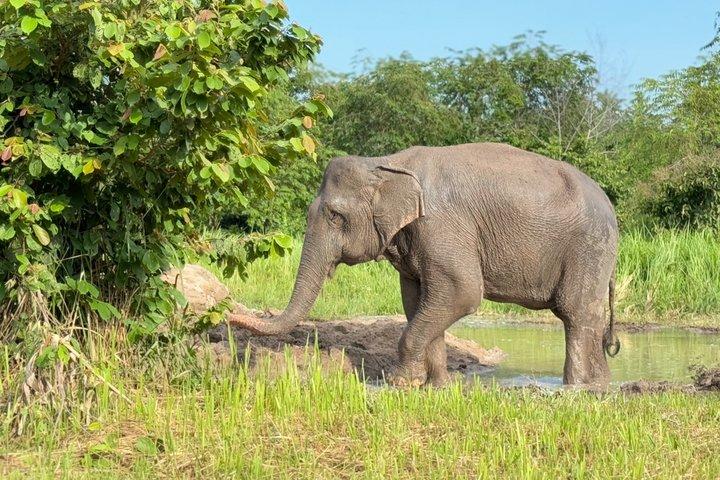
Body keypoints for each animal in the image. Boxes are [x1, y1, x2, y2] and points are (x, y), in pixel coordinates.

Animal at [229, 142, 620, 387]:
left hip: (588, 248)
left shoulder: (441, 226)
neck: (387, 163)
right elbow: (417, 300)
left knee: (575, 313)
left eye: (336, 216)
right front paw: (436, 386)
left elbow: (462, 292)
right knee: (584, 316)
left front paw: (399, 383)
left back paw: (580, 389)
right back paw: (598, 385)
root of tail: (610, 207)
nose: (231, 315)